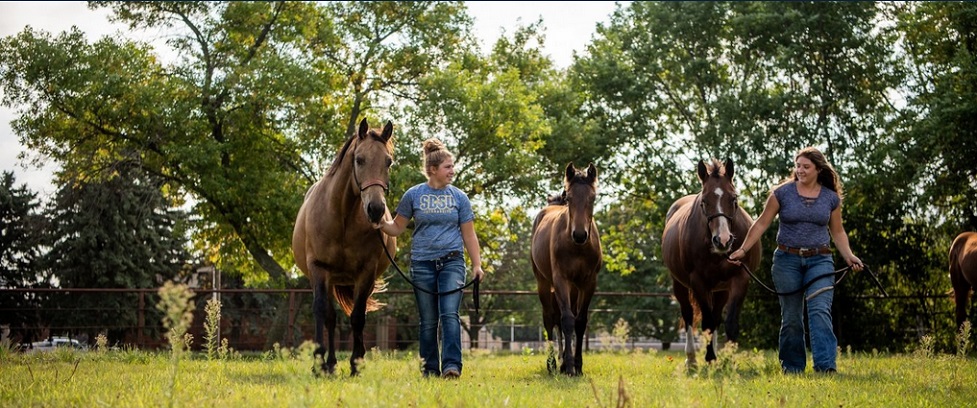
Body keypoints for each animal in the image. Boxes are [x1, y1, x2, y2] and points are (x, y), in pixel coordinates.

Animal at [292, 118, 394, 376]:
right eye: (359, 159)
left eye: (388, 161)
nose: (376, 209)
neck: (342, 217)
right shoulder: (319, 269)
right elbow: (322, 312)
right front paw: (319, 363)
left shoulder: (366, 272)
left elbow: (358, 317)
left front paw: (356, 363)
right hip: (327, 279)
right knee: (330, 317)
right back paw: (329, 364)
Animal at [528, 162, 600, 376]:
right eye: (569, 197)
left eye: (593, 197)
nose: (579, 235)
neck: (578, 248)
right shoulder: (561, 280)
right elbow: (567, 320)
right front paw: (568, 366)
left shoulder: (588, 283)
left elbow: (580, 321)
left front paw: (578, 365)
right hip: (544, 284)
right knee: (550, 319)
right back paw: (552, 363)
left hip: (574, 289)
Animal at [660, 159, 760, 366]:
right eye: (704, 201)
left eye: (734, 199)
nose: (723, 240)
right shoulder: (698, 282)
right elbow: (706, 323)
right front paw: (709, 357)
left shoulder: (740, 279)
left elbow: (729, 323)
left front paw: (728, 360)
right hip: (679, 284)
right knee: (689, 314)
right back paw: (691, 359)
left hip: (721, 289)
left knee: (716, 317)